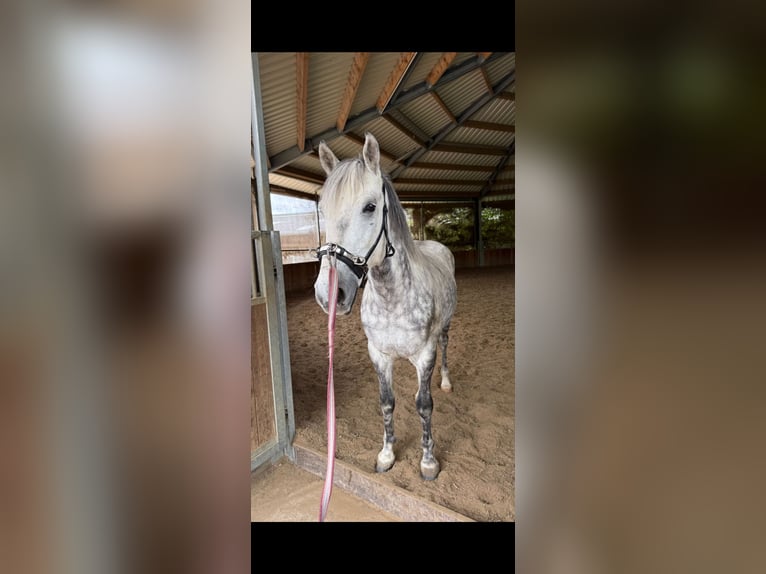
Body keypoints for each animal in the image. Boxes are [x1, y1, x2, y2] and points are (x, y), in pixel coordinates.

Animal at [313, 132, 457, 480]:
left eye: (370, 207)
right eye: (322, 210)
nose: (328, 293)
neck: (392, 299)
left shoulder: (425, 354)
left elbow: (424, 405)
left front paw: (428, 462)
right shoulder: (378, 354)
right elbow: (387, 402)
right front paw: (387, 454)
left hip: (445, 328)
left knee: (446, 346)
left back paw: (446, 382)